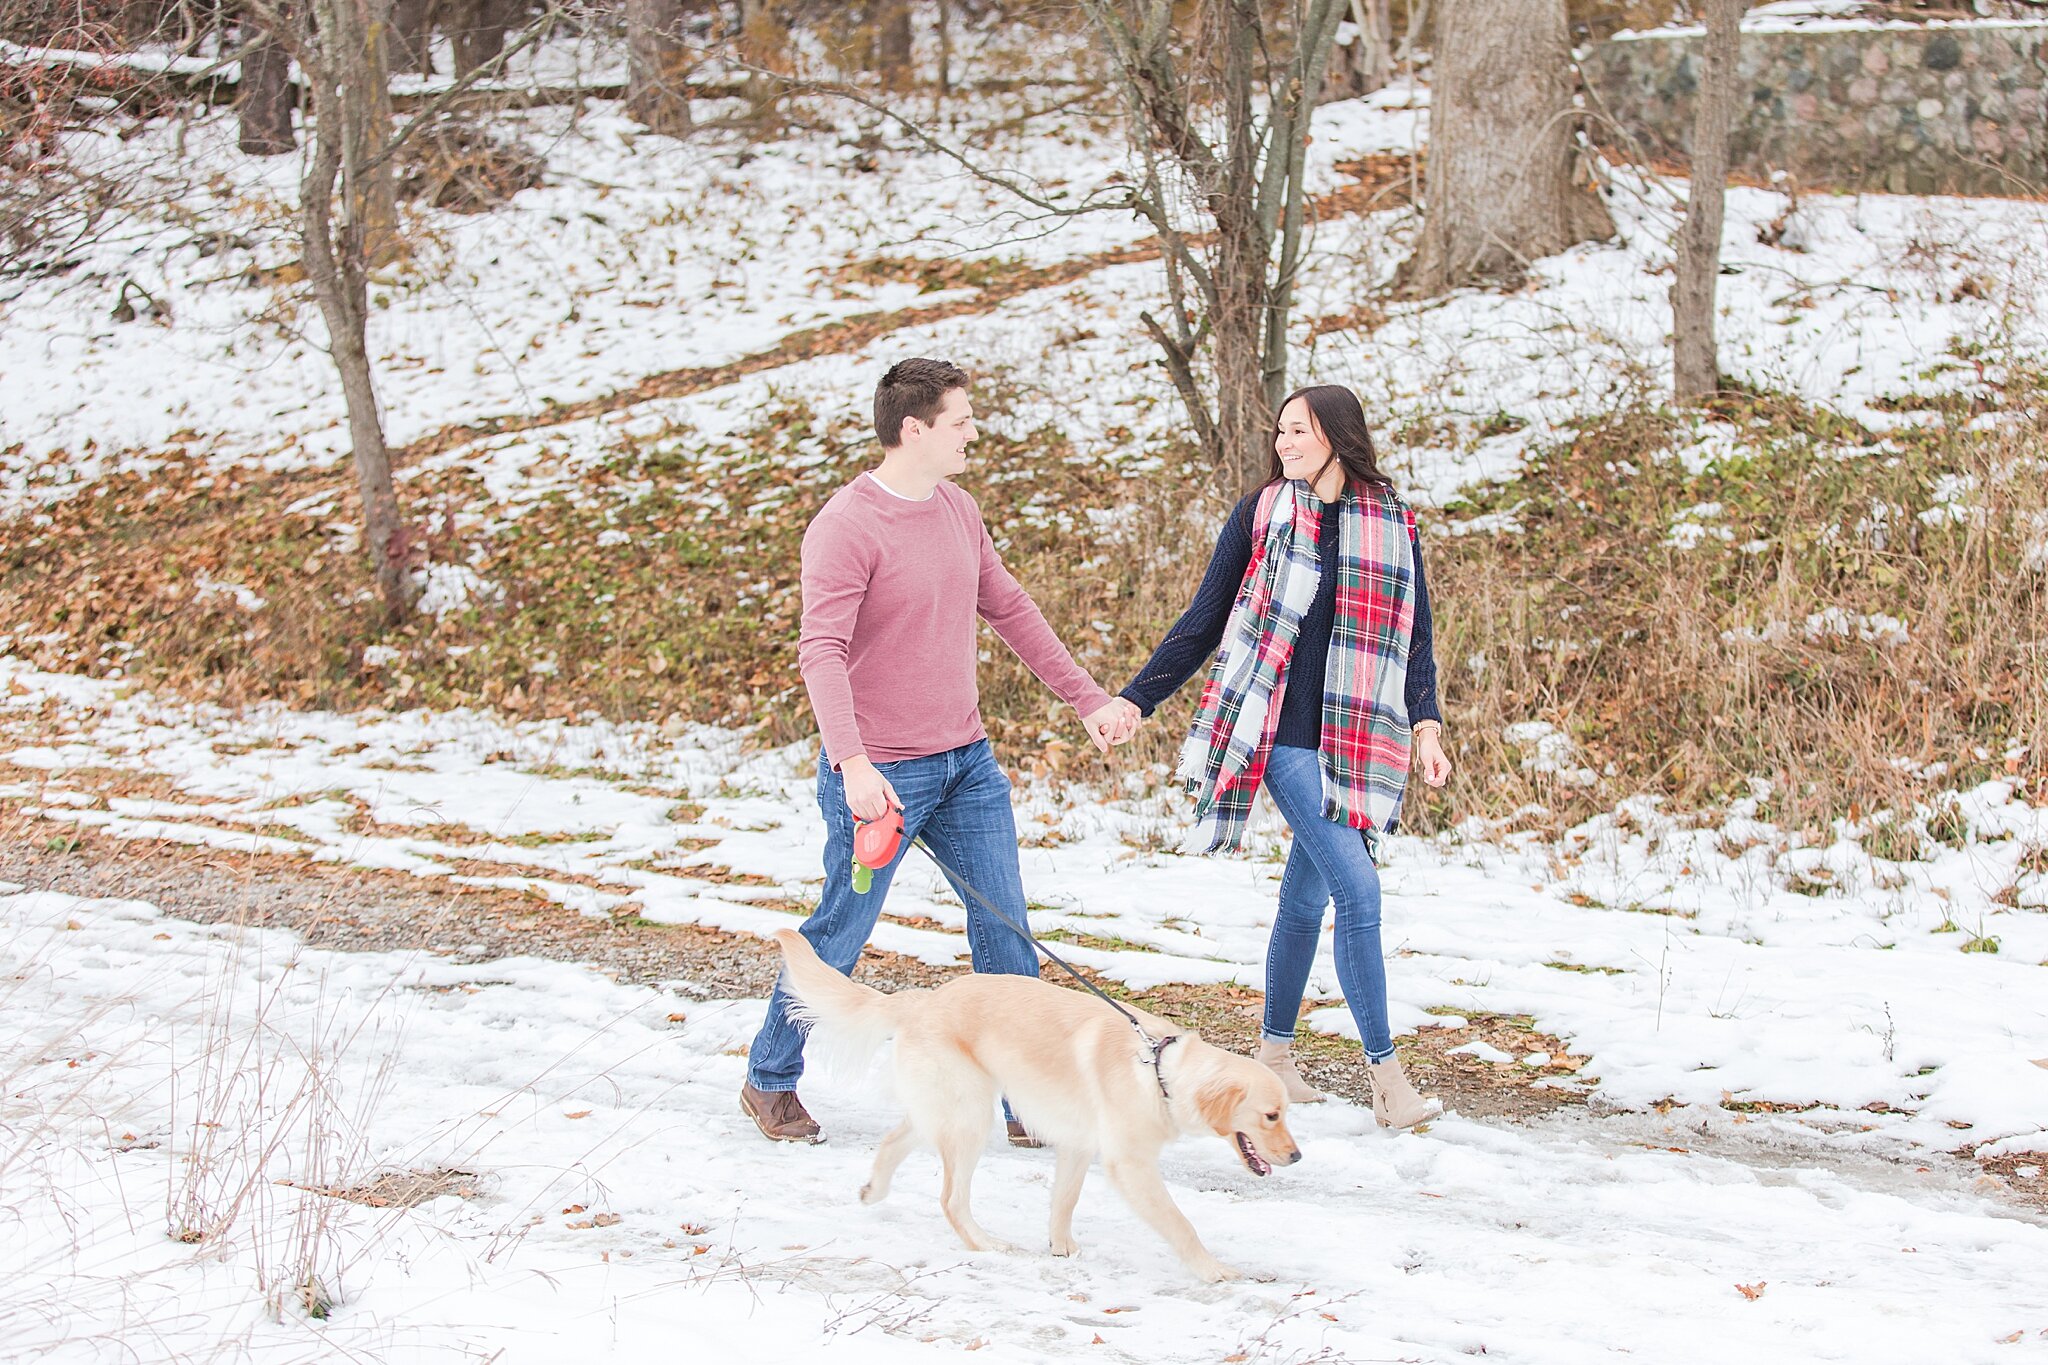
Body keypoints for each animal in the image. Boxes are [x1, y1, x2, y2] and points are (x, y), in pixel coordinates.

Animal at [770, 925, 1294, 1285]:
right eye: (1271, 1115)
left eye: (1287, 1113)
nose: (1297, 1155)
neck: (1160, 1070)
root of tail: (922, 1000)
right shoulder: (1130, 1165)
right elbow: (1180, 1223)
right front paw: (1215, 1271)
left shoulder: (1078, 1146)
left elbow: (1065, 1201)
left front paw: (1062, 1250)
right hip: (970, 1117)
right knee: (951, 1200)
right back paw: (986, 1244)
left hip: (951, 1110)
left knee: (895, 1138)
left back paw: (873, 1191)